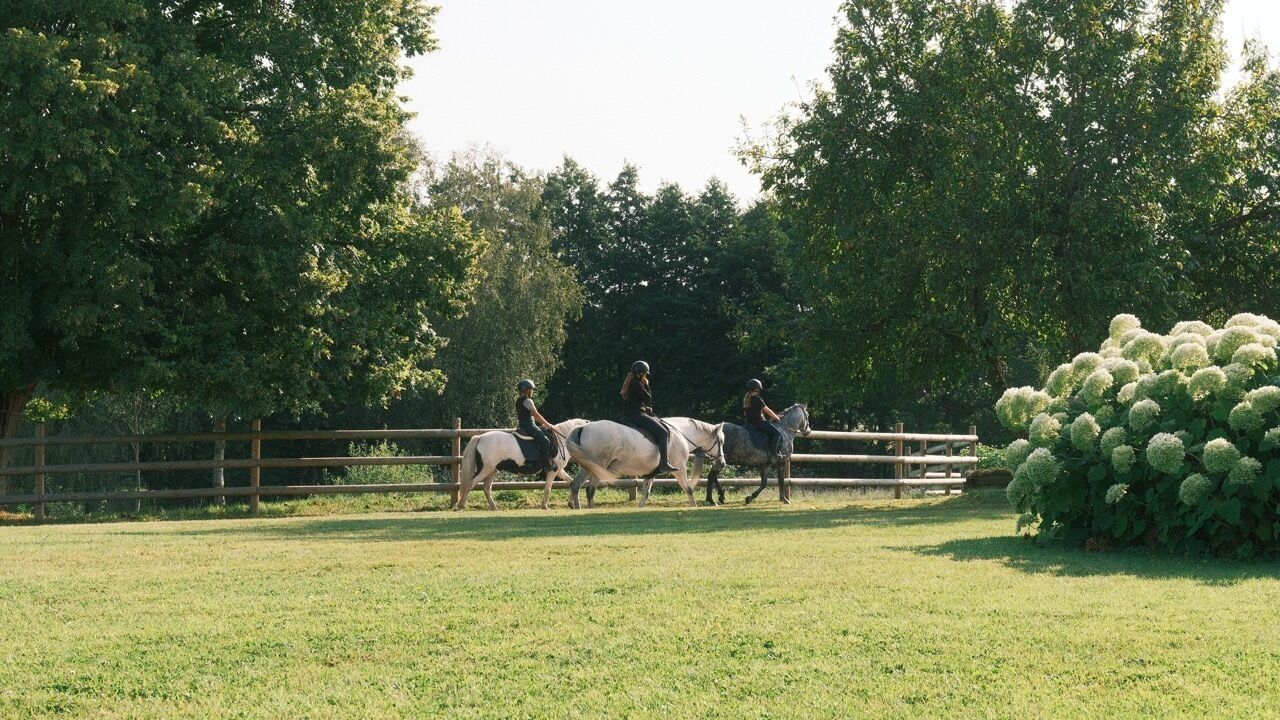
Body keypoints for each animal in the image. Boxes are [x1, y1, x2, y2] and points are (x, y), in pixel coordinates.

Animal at [454, 418, 589, 511]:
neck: (560, 439)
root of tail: (480, 437)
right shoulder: (553, 470)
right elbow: (548, 488)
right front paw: (544, 506)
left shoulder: (559, 470)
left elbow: (571, 482)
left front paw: (571, 503)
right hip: (485, 469)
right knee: (471, 484)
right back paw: (460, 505)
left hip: (492, 470)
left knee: (486, 488)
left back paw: (494, 508)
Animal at [565, 418, 724, 509]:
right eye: (721, 441)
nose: (722, 463)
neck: (681, 434)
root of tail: (583, 427)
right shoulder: (680, 470)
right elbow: (689, 490)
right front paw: (695, 506)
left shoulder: (651, 474)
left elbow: (645, 495)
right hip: (597, 468)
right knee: (586, 489)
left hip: (590, 468)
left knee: (579, 487)